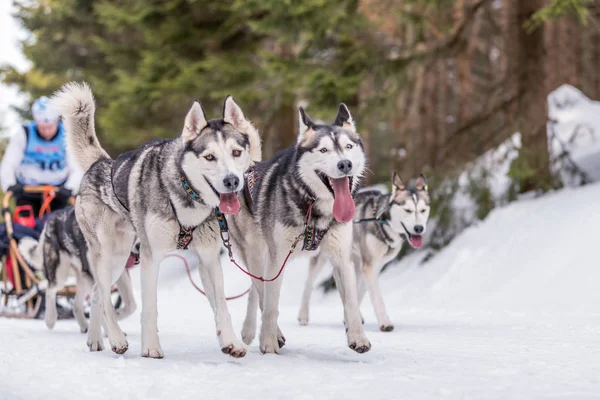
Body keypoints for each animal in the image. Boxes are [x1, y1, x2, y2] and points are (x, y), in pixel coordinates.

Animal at [54, 83, 262, 358]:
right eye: (209, 157)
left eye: (236, 153)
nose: (232, 181)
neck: (185, 194)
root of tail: (101, 163)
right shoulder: (151, 257)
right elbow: (150, 307)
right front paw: (151, 347)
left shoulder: (208, 258)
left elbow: (221, 306)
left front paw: (231, 342)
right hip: (109, 253)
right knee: (105, 296)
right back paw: (116, 339)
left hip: (120, 259)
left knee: (99, 293)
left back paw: (96, 340)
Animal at [229, 103, 370, 354]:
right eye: (323, 150)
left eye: (348, 146)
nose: (345, 164)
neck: (314, 210)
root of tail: (247, 169)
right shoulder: (277, 260)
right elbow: (271, 305)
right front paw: (268, 342)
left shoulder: (341, 258)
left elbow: (351, 303)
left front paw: (358, 337)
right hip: (255, 254)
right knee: (261, 291)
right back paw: (269, 333)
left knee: (255, 290)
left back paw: (250, 330)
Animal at [298, 172, 428, 332]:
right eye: (408, 210)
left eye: (423, 210)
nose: (418, 228)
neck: (382, 223)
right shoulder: (370, 266)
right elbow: (377, 297)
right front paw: (385, 322)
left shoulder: (374, 266)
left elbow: (359, 291)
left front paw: (351, 316)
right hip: (322, 258)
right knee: (309, 284)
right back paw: (303, 315)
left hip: (355, 262)